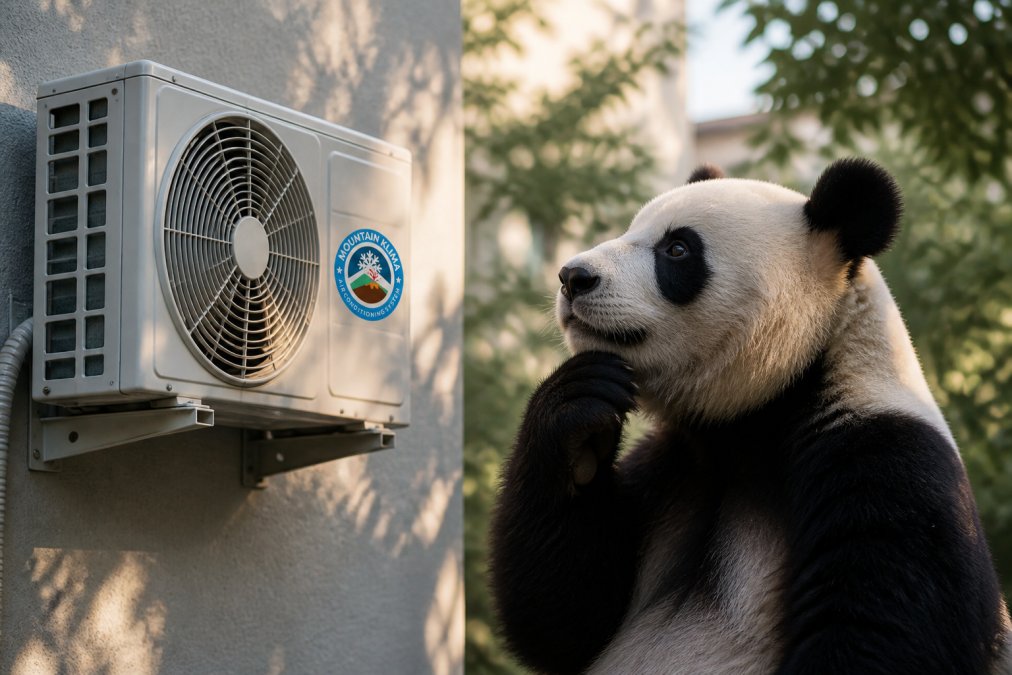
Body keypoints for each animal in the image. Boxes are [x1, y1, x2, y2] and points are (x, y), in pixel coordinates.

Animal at [488, 159, 1011, 674]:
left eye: (677, 249)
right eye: (632, 229)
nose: (573, 277)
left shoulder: (888, 467)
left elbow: (875, 635)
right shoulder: (674, 467)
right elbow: (569, 615)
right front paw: (579, 408)